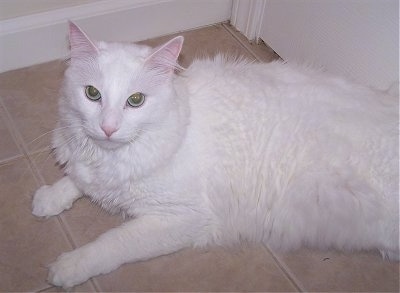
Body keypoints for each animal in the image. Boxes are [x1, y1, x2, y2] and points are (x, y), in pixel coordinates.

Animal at [32, 22, 400, 288]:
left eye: (136, 100)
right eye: (92, 94)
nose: (108, 128)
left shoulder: (184, 218)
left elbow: (113, 242)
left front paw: (71, 265)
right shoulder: (89, 165)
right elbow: (76, 179)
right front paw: (49, 198)